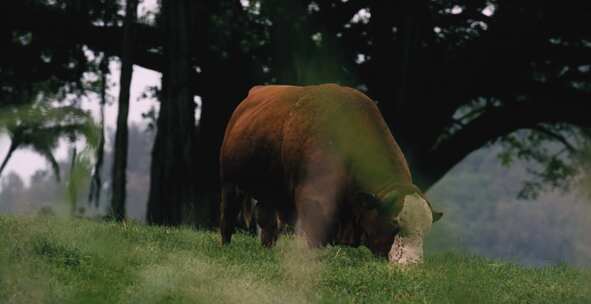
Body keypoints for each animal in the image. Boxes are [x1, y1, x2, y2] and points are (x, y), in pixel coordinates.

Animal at [220, 83, 442, 264]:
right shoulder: (313, 200)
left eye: (426, 230)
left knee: (267, 221)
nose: (411, 266)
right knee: (229, 215)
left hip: (271, 192)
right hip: (230, 183)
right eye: (393, 224)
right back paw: (225, 245)